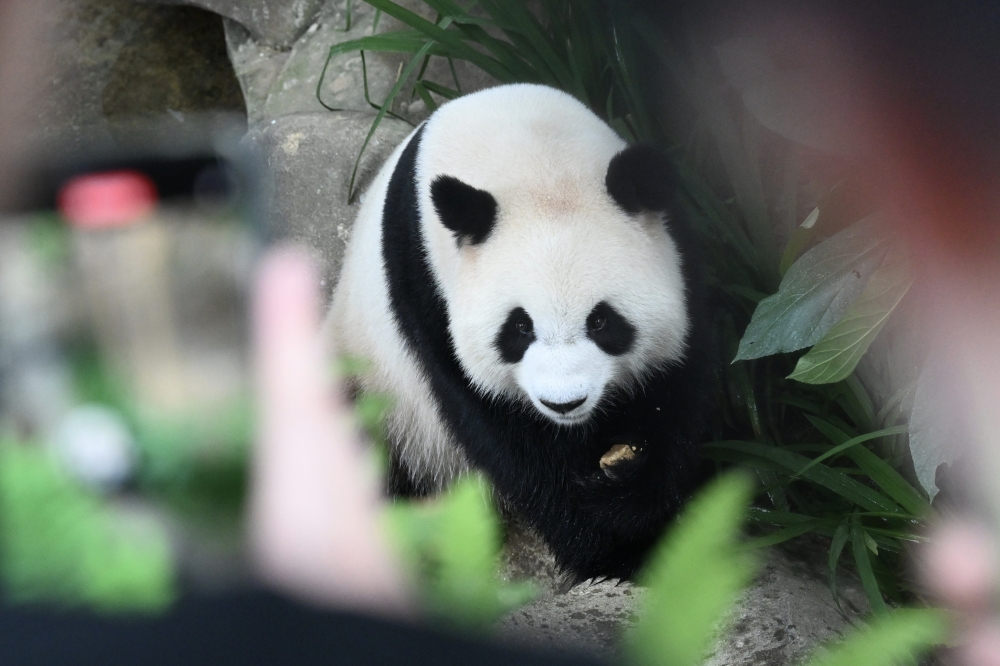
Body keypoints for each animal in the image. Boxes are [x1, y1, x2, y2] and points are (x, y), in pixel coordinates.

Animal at [326, 83, 713, 582]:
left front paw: (636, 508)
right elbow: (507, 436)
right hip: (373, 383)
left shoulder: (676, 248)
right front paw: (611, 549)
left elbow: (675, 389)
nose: (564, 403)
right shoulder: (425, 290)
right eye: (520, 327)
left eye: (601, 321)